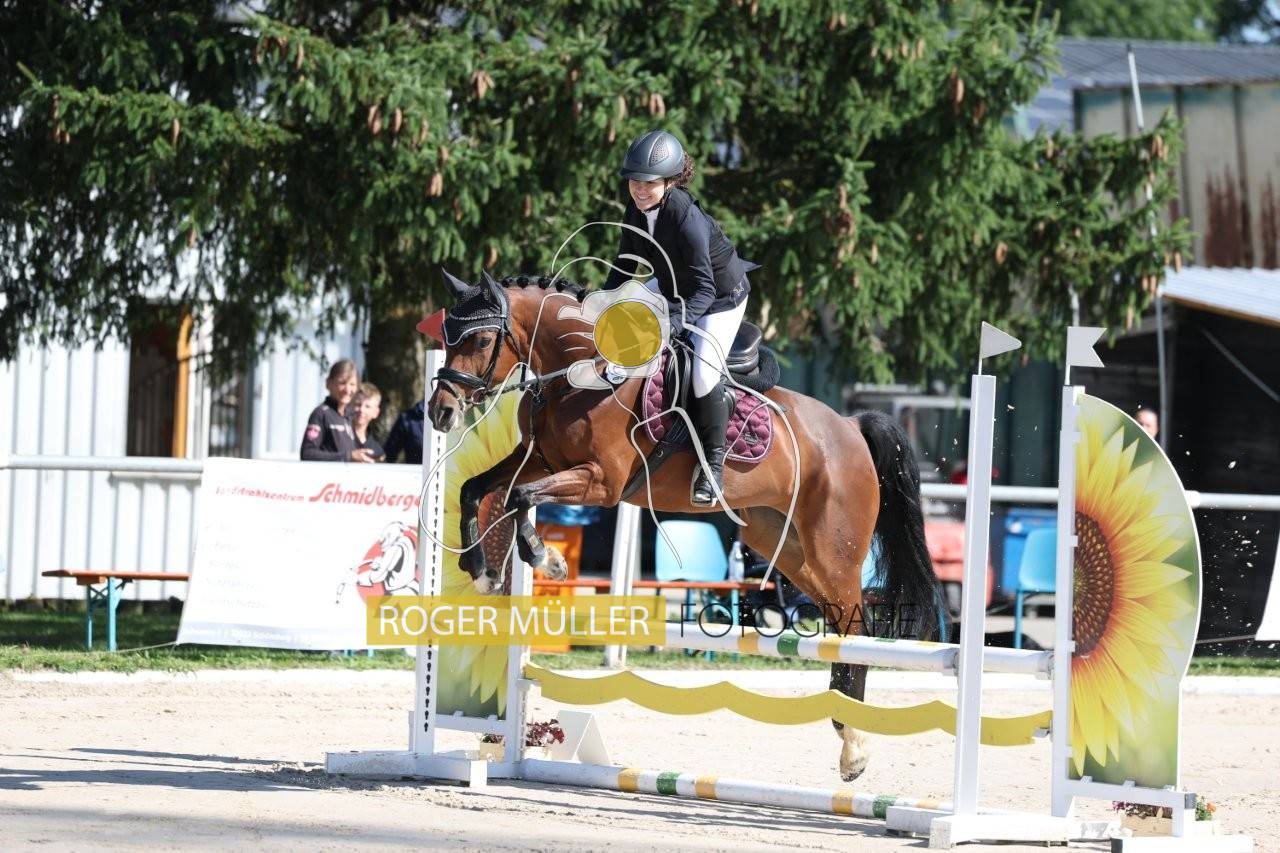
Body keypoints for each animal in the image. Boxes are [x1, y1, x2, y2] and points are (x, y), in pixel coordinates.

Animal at [426, 269, 943, 782]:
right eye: (448, 337)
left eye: (483, 339)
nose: (441, 412)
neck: (578, 374)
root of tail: (851, 427)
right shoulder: (537, 459)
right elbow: (475, 489)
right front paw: (482, 570)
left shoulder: (601, 481)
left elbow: (520, 497)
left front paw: (544, 558)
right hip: (788, 547)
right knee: (839, 625)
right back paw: (846, 732)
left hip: (833, 551)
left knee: (858, 626)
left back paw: (854, 747)